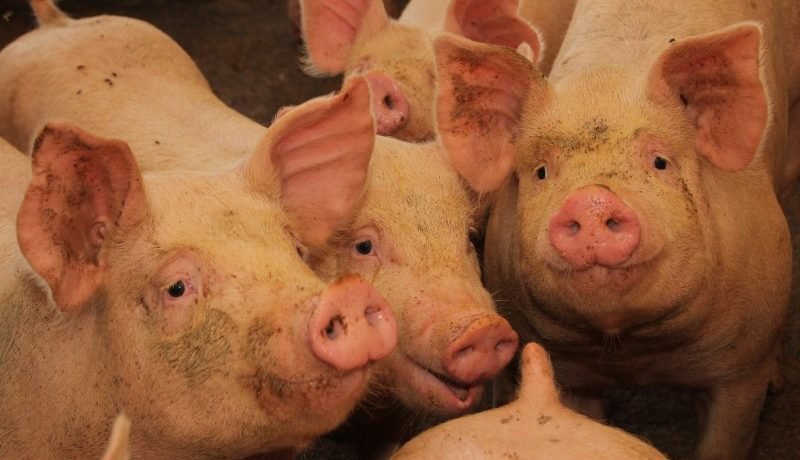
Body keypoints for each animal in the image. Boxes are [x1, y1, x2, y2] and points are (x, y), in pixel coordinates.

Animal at [432, 0, 800, 456]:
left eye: (660, 162)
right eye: (540, 172)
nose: (591, 199)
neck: (630, 352)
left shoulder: (742, 371)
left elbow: (725, 439)